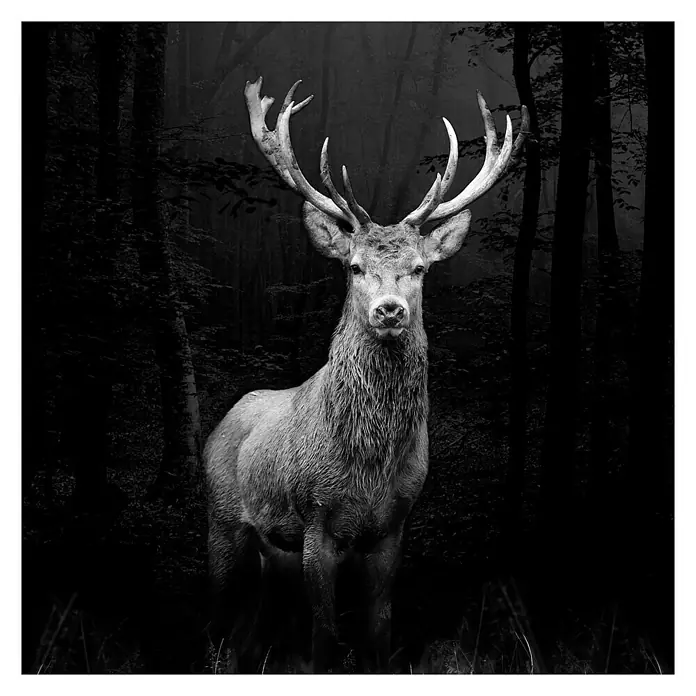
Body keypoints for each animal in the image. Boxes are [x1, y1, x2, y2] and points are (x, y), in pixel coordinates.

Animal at [205, 76, 528, 673]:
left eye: (419, 269)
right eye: (354, 266)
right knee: (216, 619)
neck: (368, 467)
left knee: (246, 635)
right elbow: (324, 637)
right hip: (222, 520)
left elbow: (379, 630)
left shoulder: (394, 526)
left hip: (271, 552)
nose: (390, 310)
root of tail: (219, 424)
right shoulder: (315, 519)